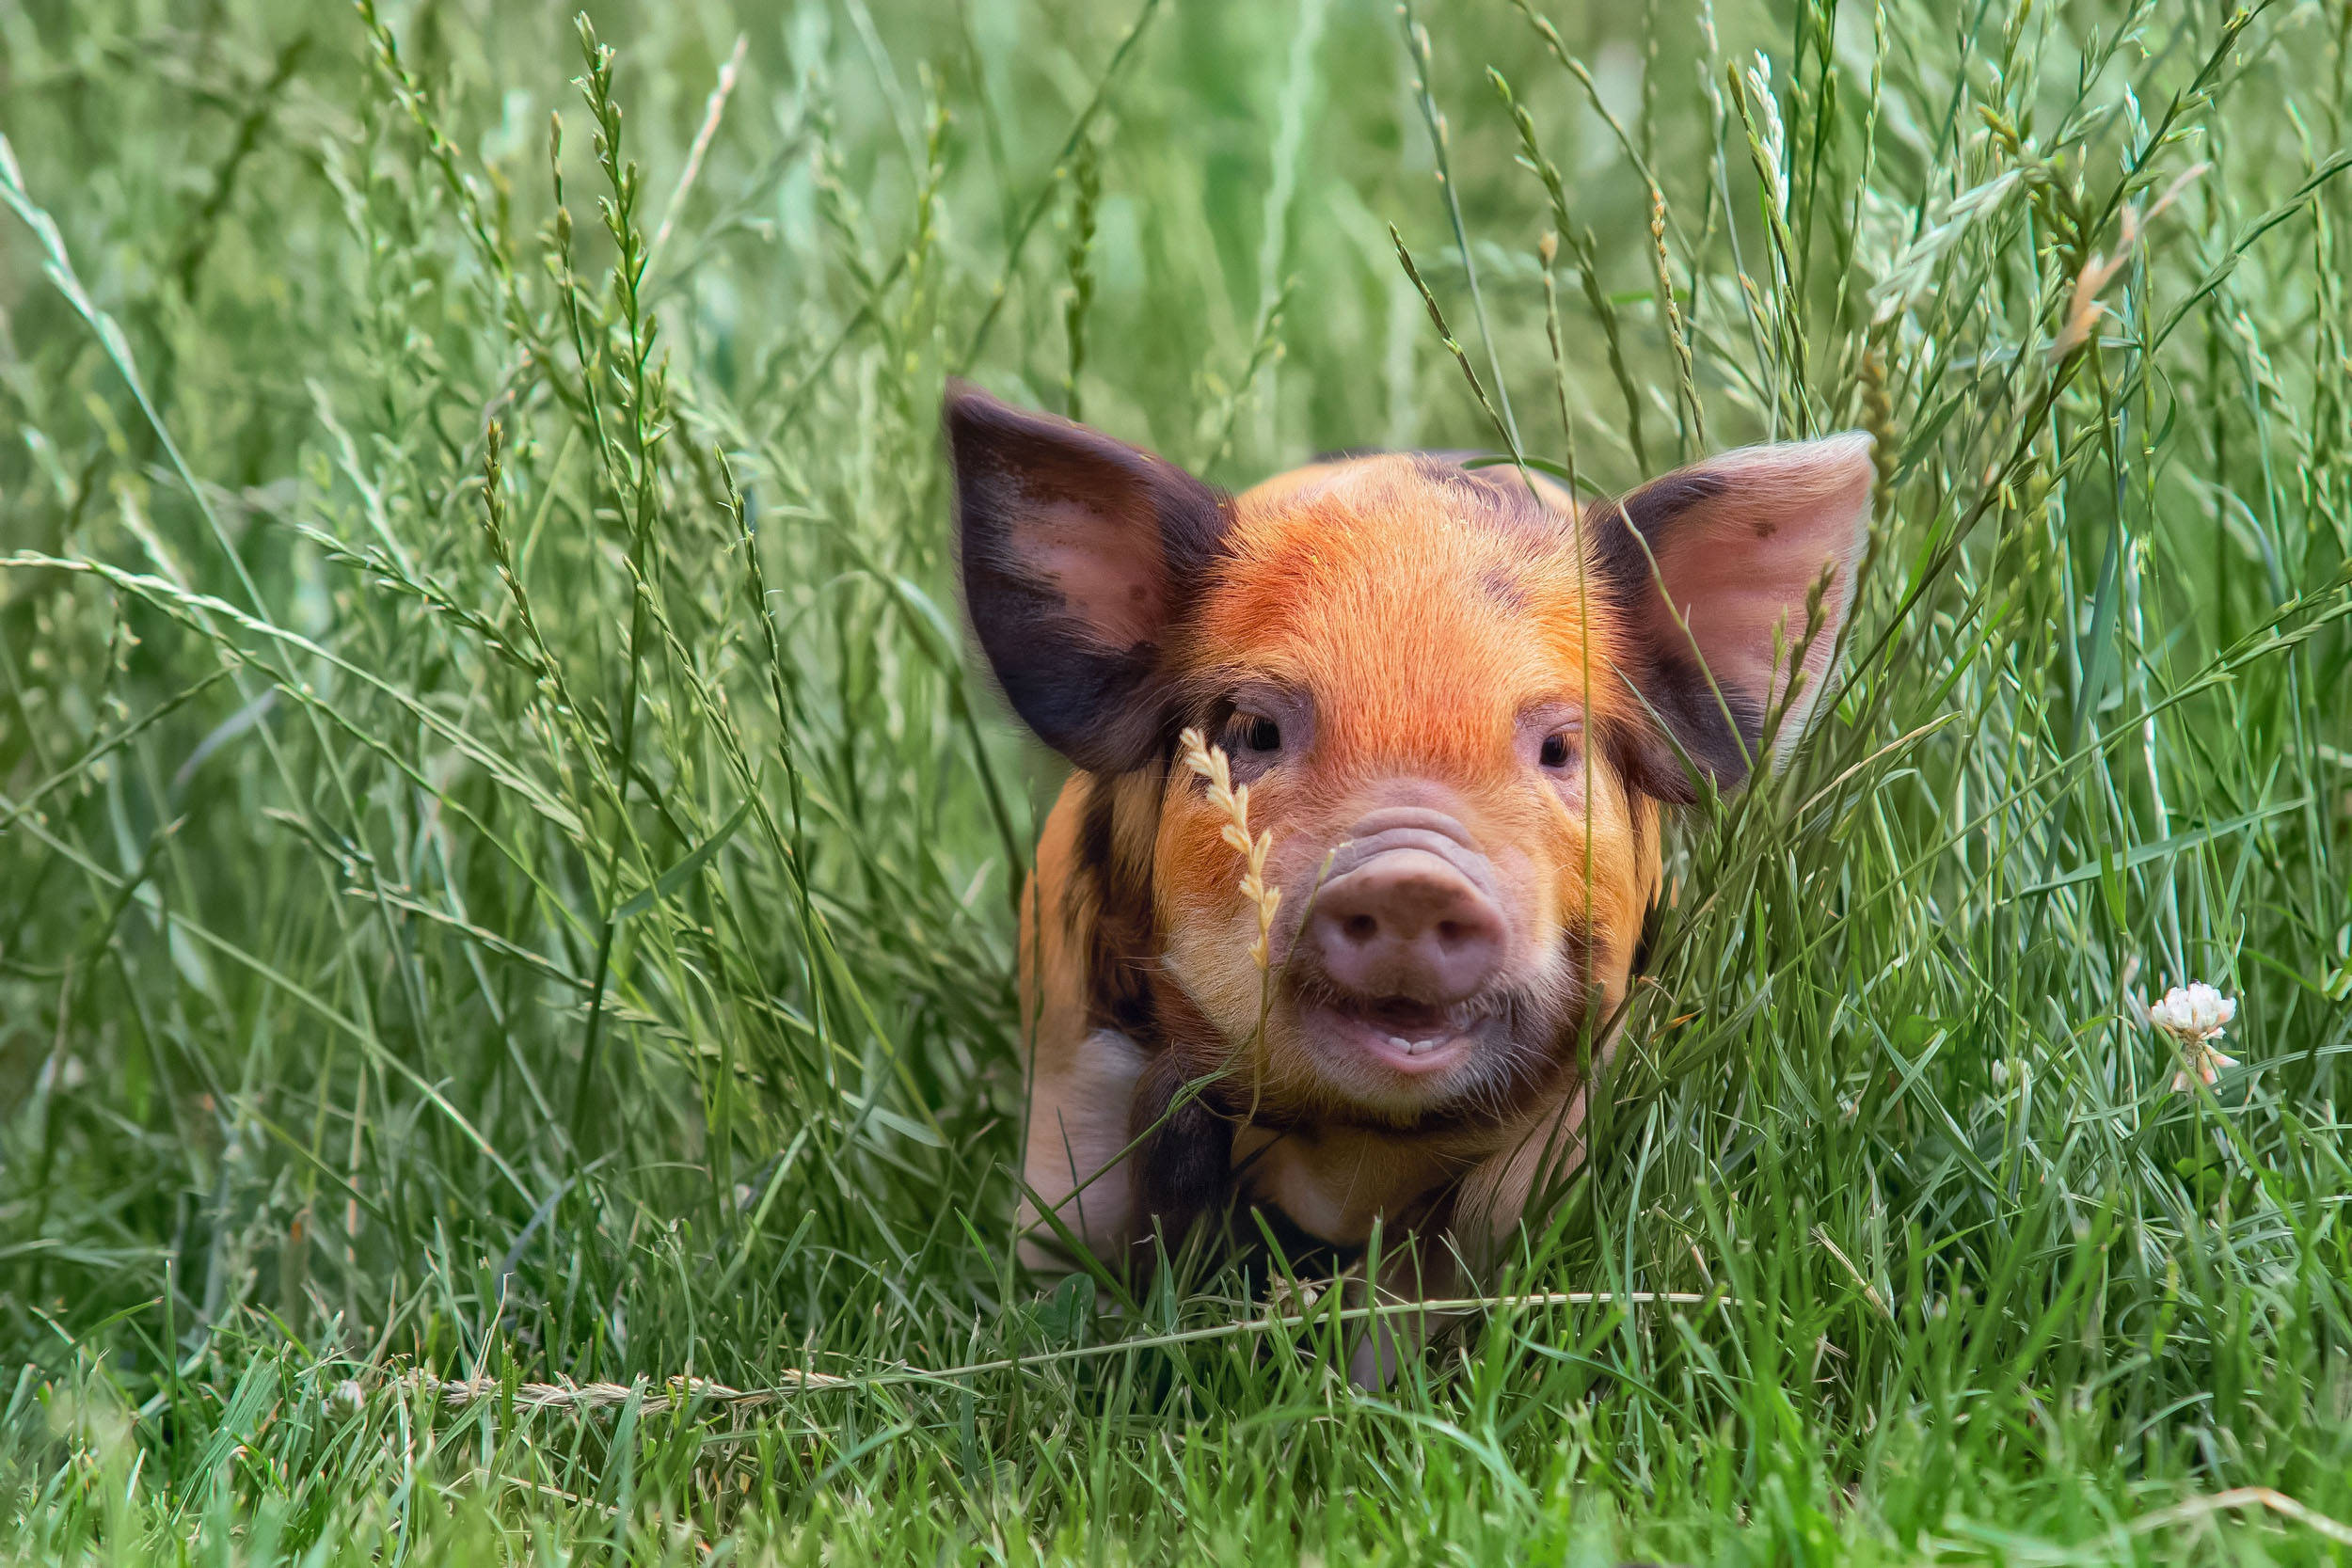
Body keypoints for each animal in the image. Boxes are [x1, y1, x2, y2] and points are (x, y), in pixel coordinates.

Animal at [945, 381, 1872, 1379]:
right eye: (1253, 731)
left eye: (1560, 746)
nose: (1411, 878)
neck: (1350, 1153)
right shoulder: (1073, 1056)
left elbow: (1439, 1267)